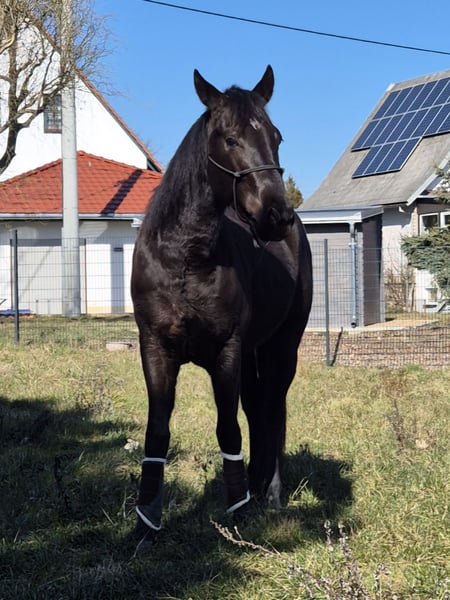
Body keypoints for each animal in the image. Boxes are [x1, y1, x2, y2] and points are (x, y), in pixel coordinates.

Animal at [131, 66, 313, 538]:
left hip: (282, 347)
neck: (186, 258)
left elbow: (228, 429)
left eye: (276, 136)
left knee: (273, 409)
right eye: (230, 138)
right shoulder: (155, 349)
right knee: (257, 409)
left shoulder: (227, 351)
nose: (277, 215)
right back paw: (255, 482)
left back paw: (270, 494)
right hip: (253, 353)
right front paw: (146, 524)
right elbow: (157, 433)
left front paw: (238, 515)